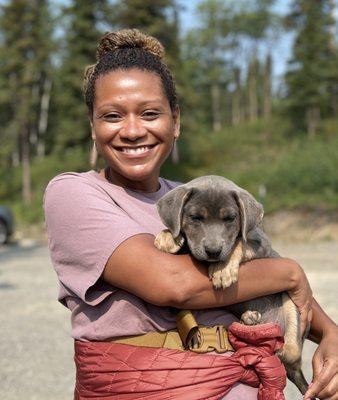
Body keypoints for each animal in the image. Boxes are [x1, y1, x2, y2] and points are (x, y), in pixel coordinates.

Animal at [154, 175, 310, 394]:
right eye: (195, 217)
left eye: (229, 219)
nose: (213, 252)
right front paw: (168, 235)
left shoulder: (261, 244)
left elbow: (238, 243)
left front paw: (223, 269)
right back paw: (250, 320)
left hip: (290, 306)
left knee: (291, 352)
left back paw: (274, 345)